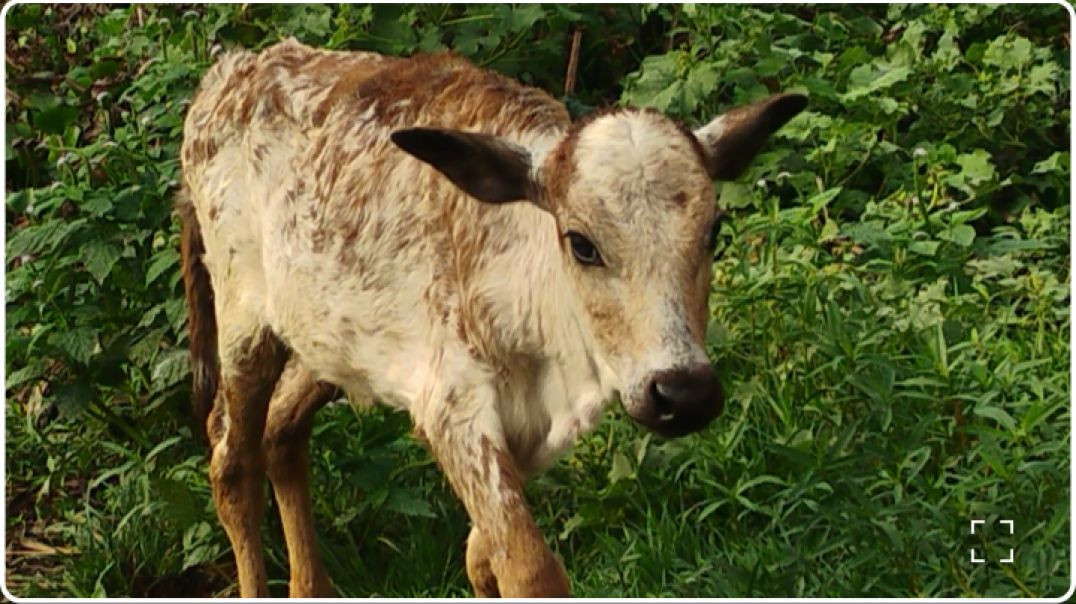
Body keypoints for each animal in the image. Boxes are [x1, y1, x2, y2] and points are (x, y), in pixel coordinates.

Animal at [178, 38, 805, 598]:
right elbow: (529, 570)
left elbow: (482, 557)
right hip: (243, 319)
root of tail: (227, 72)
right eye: (582, 244)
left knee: (283, 431)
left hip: (327, 336)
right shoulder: (452, 406)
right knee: (232, 461)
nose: (683, 393)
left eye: (713, 231)